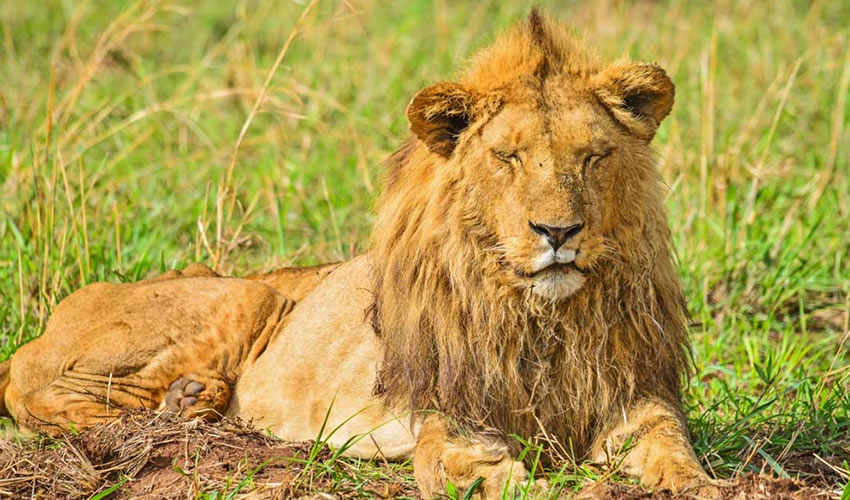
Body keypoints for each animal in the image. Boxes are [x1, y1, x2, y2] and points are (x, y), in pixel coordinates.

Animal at [0, 9, 716, 498]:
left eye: (593, 157)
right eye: (507, 157)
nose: (559, 231)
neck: (544, 320)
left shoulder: (635, 396)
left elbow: (674, 449)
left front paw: (697, 484)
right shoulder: (450, 421)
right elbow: (484, 476)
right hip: (248, 293)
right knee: (49, 395)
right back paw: (185, 407)